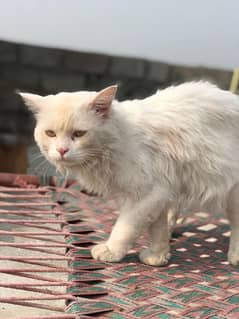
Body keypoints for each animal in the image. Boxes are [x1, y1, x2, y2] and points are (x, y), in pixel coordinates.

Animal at [19, 81, 239, 266]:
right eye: (50, 134)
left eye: (79, 134)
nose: (62, 150)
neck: (119, 139)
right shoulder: (160, 191)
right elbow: (157, 230)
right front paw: (157, 257)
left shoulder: (146, 195)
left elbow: (125, 227)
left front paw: (111, 251)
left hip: (233, 195)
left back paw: (235, 258)